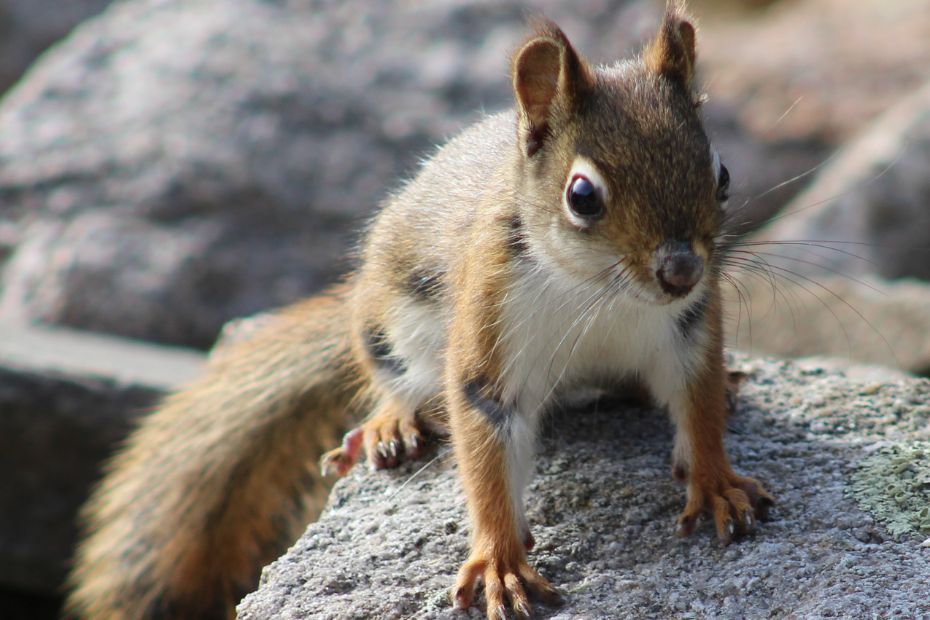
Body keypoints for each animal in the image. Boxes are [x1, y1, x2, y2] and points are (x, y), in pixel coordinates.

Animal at [69, 3, 772, 616]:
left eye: (723, 175)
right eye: (582, 196)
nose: (681, 273)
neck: (597, 294)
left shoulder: (690, 334)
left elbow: (697, 406)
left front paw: (716, 482)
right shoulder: (488, 339)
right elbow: (485, 452)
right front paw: (500, 563)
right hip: (388, 321)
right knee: (392, 376)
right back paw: (390, 423)